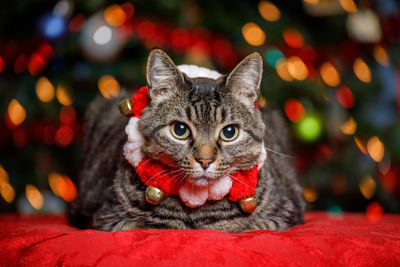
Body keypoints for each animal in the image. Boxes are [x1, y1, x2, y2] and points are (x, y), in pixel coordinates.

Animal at [67, 49, 304, 232]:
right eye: (180, 130)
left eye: (229, 132)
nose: (205, 160)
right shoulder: (106, 218)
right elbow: (143, 226)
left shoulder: (284, 216)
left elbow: (249, 227)